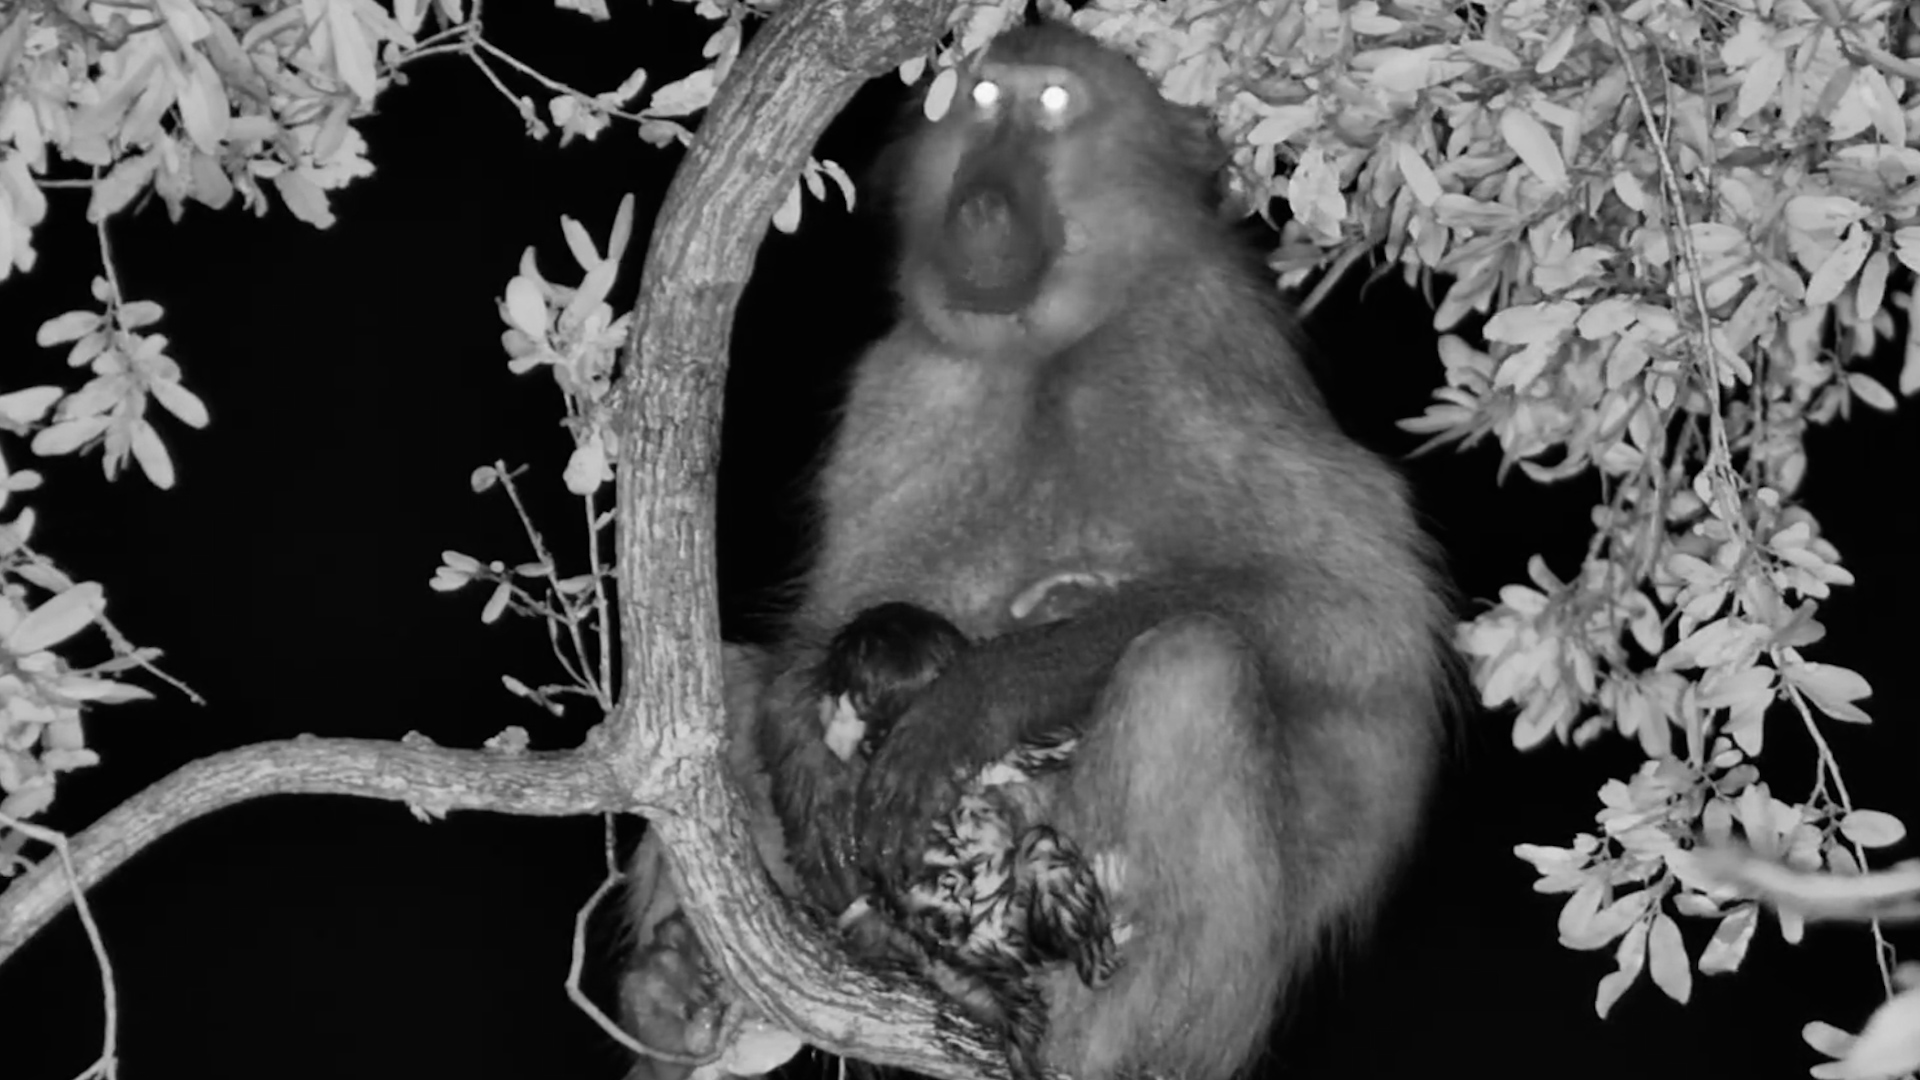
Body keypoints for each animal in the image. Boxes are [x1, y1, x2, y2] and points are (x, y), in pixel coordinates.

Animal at [622, 20, 1452, 1080]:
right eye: (979, 100)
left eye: (1053, 105)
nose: (982, 197)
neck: (1047, 353)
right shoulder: (912, 381)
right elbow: (832, 632)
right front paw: (809, 748)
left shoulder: (1188, 347)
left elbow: (1354, 616)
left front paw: (983, 695)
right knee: (725, 690)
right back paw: (678, 998)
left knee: (1194, 665)